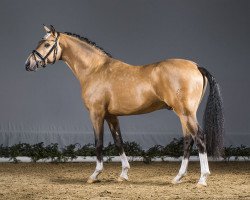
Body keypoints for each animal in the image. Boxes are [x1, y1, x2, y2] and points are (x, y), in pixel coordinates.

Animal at [24, 25, 225, 187]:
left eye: (47, 44)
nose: (28, 64)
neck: (95, 70)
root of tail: (196, 66)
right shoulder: (112, 116)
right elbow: (119, 142)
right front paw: (124, 174)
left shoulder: (96, 114)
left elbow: (99, 143)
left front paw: (95, 175)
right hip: (183, 115)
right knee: (188, 140)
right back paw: (178, 177)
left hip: (186, 113)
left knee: (199, 138)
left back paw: (202, 179)